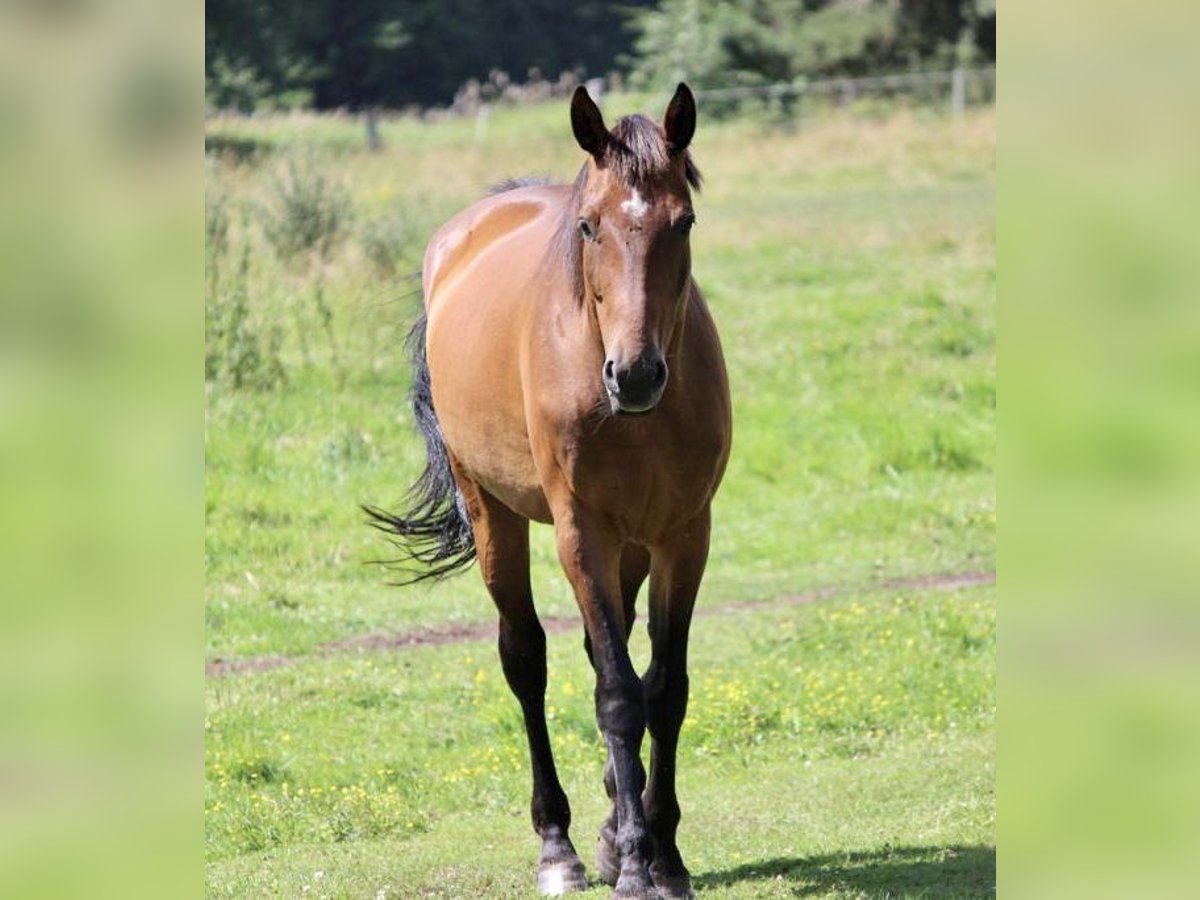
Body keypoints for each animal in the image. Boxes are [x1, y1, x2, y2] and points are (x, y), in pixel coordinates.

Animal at [367, 82, 729, 897]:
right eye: (591, 226)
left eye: (684, 222)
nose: (636, 375)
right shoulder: (580, 533)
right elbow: (619, 696)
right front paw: (636, 865)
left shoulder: (683, 534)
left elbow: (664, 688)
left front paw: (664, 854)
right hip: (494, 513)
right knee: (525, 659)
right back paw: (559, 845)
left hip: (632, 547)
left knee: (607, 654)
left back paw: (608, 826)